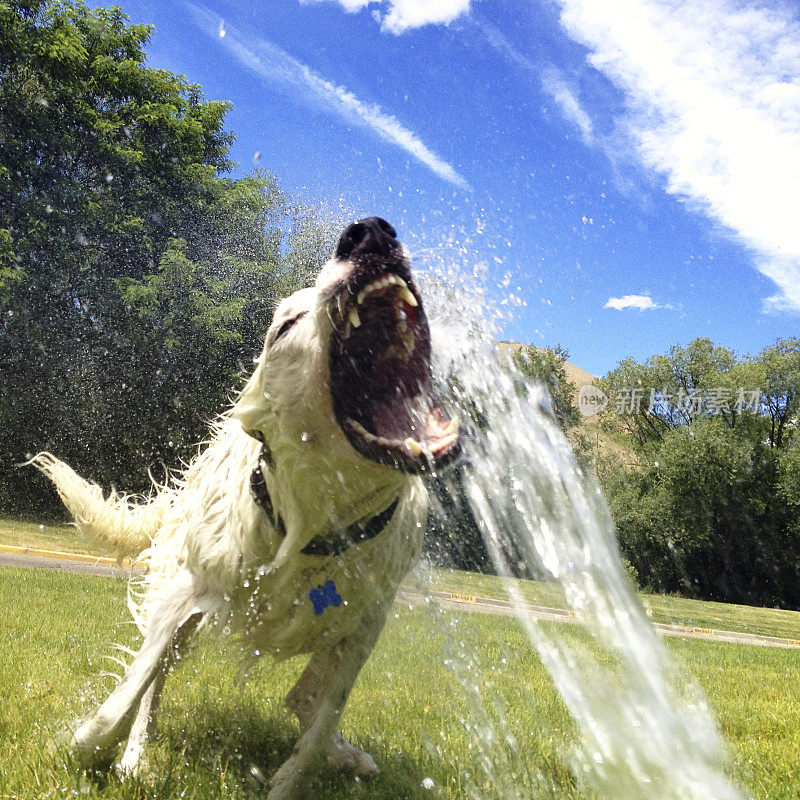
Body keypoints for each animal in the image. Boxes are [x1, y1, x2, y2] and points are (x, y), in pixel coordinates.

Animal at [34, 219, 460, 800]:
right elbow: (125, 698)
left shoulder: (365, 625)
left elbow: (318, 727)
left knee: (304, 698)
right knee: (156, 684)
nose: (368, 233)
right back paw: (136, 756)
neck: (311, 530)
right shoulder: (185, 592)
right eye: (286, 325)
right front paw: (86, 747)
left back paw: (347, 754)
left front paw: (299, 774)